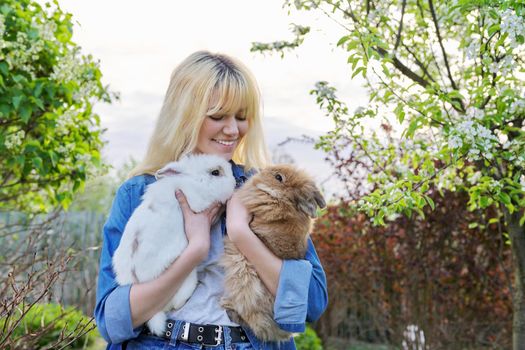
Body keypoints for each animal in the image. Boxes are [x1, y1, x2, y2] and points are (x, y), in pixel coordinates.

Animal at [218, 165, 324, 342]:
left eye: (279, 177)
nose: (263, 170)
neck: (281, 199)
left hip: (244, 277)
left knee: (256, 321)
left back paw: (227, 305)